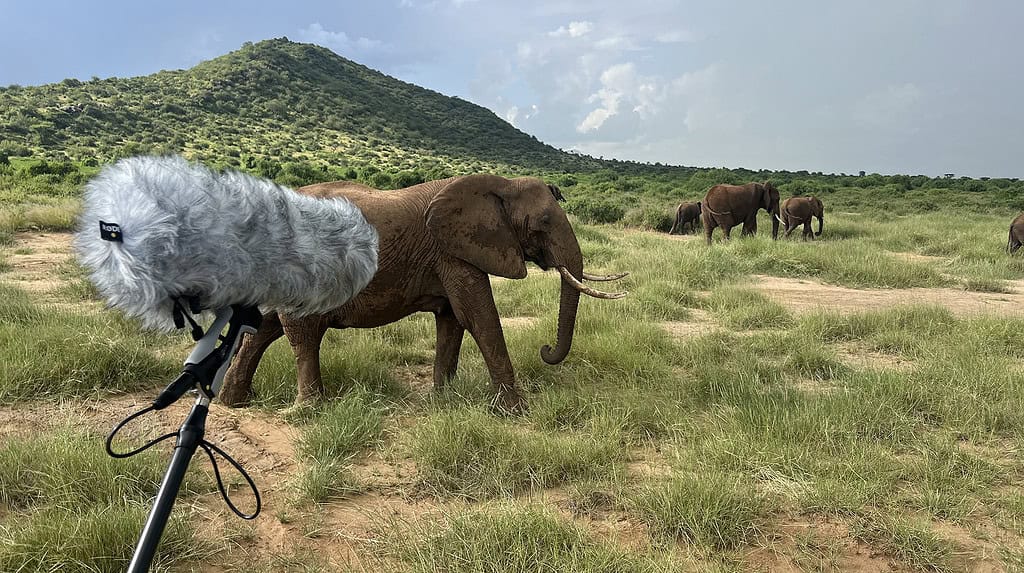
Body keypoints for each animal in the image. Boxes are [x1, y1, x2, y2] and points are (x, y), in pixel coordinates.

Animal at [218, 174, 628, 413]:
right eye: (542, 223)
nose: (545, 350)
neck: (499, 184)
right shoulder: (453, 250)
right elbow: (479, 317)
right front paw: (514, 410)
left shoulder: (452, 252)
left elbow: (453, 320)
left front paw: (442, 401)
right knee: (301, 331)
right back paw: (309, 411)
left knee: (265, 328)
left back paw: (234, 402)